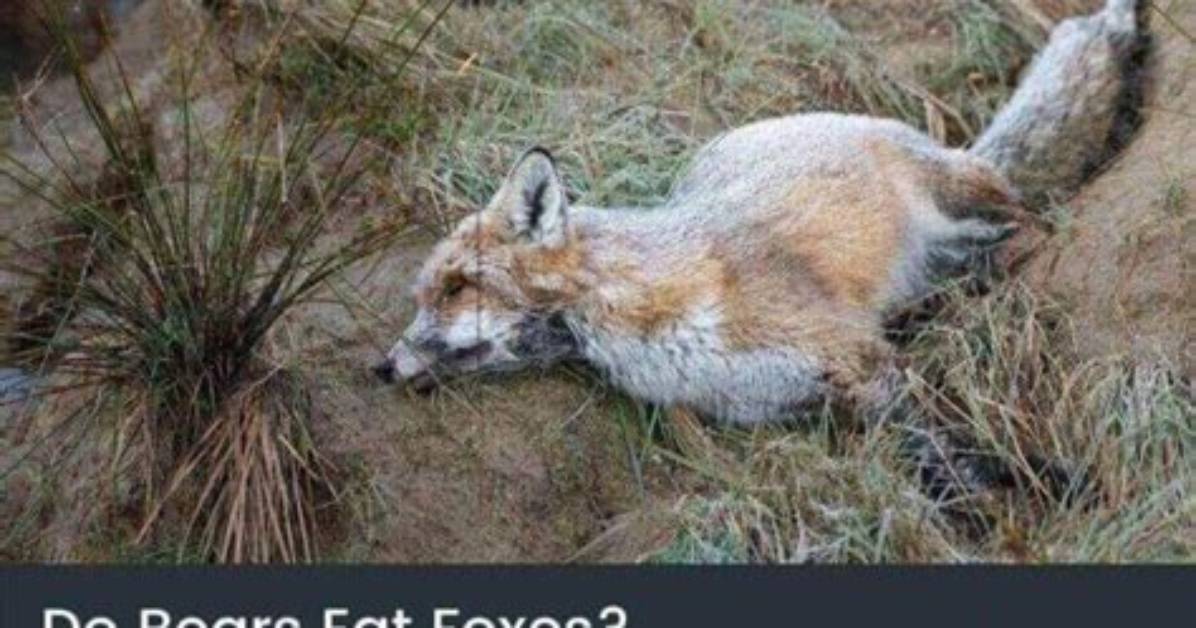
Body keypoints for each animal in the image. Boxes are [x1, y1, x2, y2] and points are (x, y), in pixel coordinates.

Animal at [374, 1, 1147, 450]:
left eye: (455, 287)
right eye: (424, 294)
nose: (380, 368)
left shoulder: (854, 360)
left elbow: (946, 463)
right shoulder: (792, 400)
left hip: (962, 194)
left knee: (1034, 223)